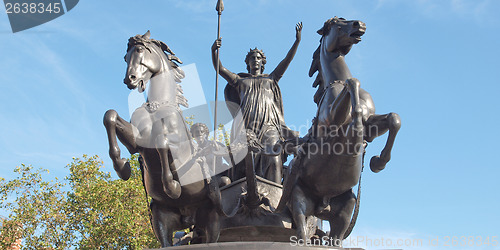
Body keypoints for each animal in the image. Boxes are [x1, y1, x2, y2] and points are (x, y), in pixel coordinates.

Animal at [278, 17, 402, 246]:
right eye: (337, 23)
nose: (359, 24)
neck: (337, 80)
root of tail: (322, 205)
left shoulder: (372, 126)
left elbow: (393, 119)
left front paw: (378, 162)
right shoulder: (333, 119)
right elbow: (354, 85)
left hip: (346, 207)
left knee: (336, 238)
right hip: (298, 201)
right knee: (301, 230)